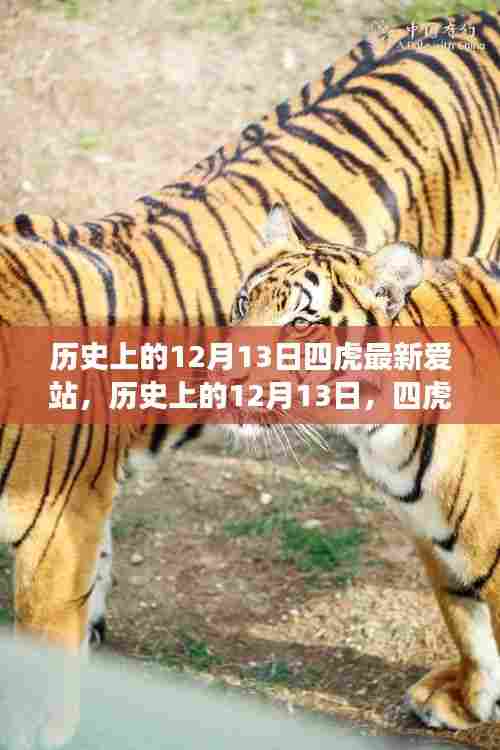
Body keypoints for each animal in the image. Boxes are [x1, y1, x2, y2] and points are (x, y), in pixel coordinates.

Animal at [227, 202, 500, 732]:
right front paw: (467, 700)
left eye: (300, 323)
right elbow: (466, 621)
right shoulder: (432, 533)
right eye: (244, 303)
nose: (221, 375)